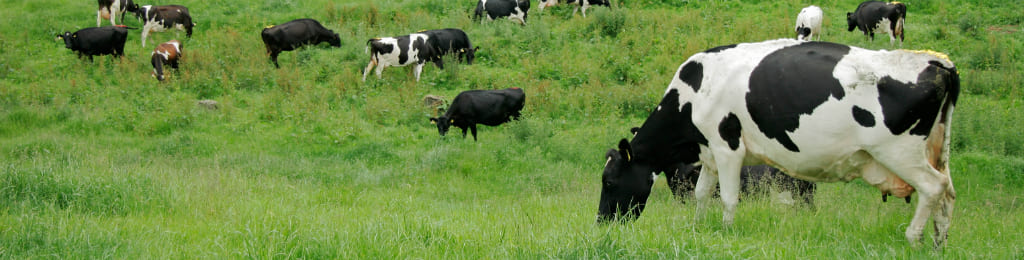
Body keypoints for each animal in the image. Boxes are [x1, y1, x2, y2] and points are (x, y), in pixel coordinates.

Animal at [598, 38, 958, 247]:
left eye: (610, 181)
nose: (602, 222)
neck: (694, 93)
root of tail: (936, 62)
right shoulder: (710, 152)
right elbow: (702, 193)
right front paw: (697, 227)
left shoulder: (727, 147)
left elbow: (727, 197)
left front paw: (726, 232)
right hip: (936, 152)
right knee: (948, 194)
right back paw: (939, 243)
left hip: (899, 151)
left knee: (933, 187)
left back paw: (913, 238)